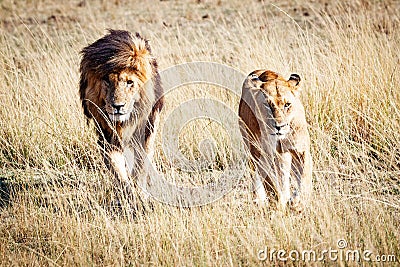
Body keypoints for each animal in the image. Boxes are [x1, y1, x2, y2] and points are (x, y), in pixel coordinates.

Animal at [79, 28, 163, 205]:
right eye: (106, 80)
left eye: (130, 82)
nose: (118, 106)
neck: (124, 122)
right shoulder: (107, 137)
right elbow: (118, 171)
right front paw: (130, 196)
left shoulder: (145, 133)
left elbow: (141, 167)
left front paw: (141, 194)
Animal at [239, 70, 310, 213]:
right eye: (267, 105)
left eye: (287, 104)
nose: (279, 126)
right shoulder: (261, 153)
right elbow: (265, 179)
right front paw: (265, 201)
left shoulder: (301, 150)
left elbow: (304, 176)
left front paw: (298, 202)